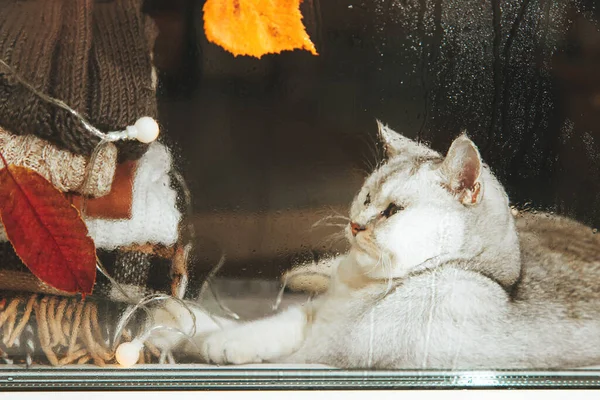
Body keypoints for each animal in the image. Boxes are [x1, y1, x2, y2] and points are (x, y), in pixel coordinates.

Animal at [156, 122, 600, 368]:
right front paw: (193, 321)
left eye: (393, 210)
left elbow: (259, 340)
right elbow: (265, 323)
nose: (356, 225)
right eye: (367, 197)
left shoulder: (331, 349)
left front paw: (189, 336)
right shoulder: (318, 315)